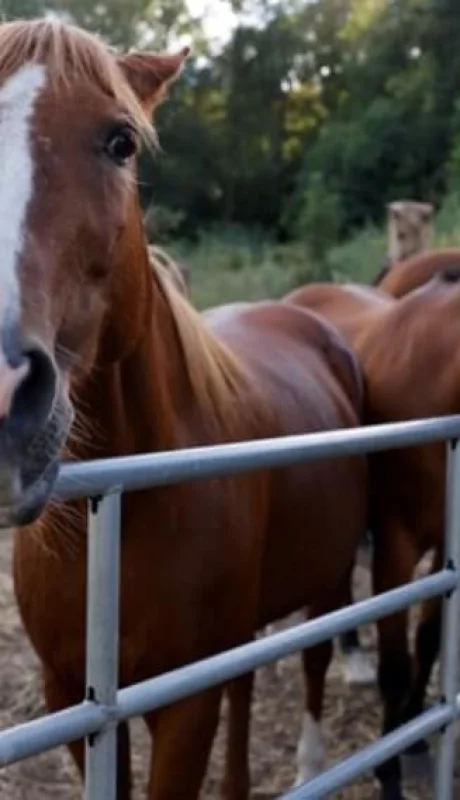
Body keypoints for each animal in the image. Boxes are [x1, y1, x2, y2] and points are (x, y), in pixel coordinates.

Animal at [0, 19, 368, 799]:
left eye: (121, 142)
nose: (1, 392)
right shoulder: (70, 696)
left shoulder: (183, 707)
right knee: (246, 682)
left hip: (327, 581)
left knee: (315, 663)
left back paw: (312, 765)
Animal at [284, 275, 460, 800]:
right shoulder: (394, 546)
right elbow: (396, 664)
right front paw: (389, 772)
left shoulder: (444, 546)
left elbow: (428, 641)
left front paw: (416, 741)